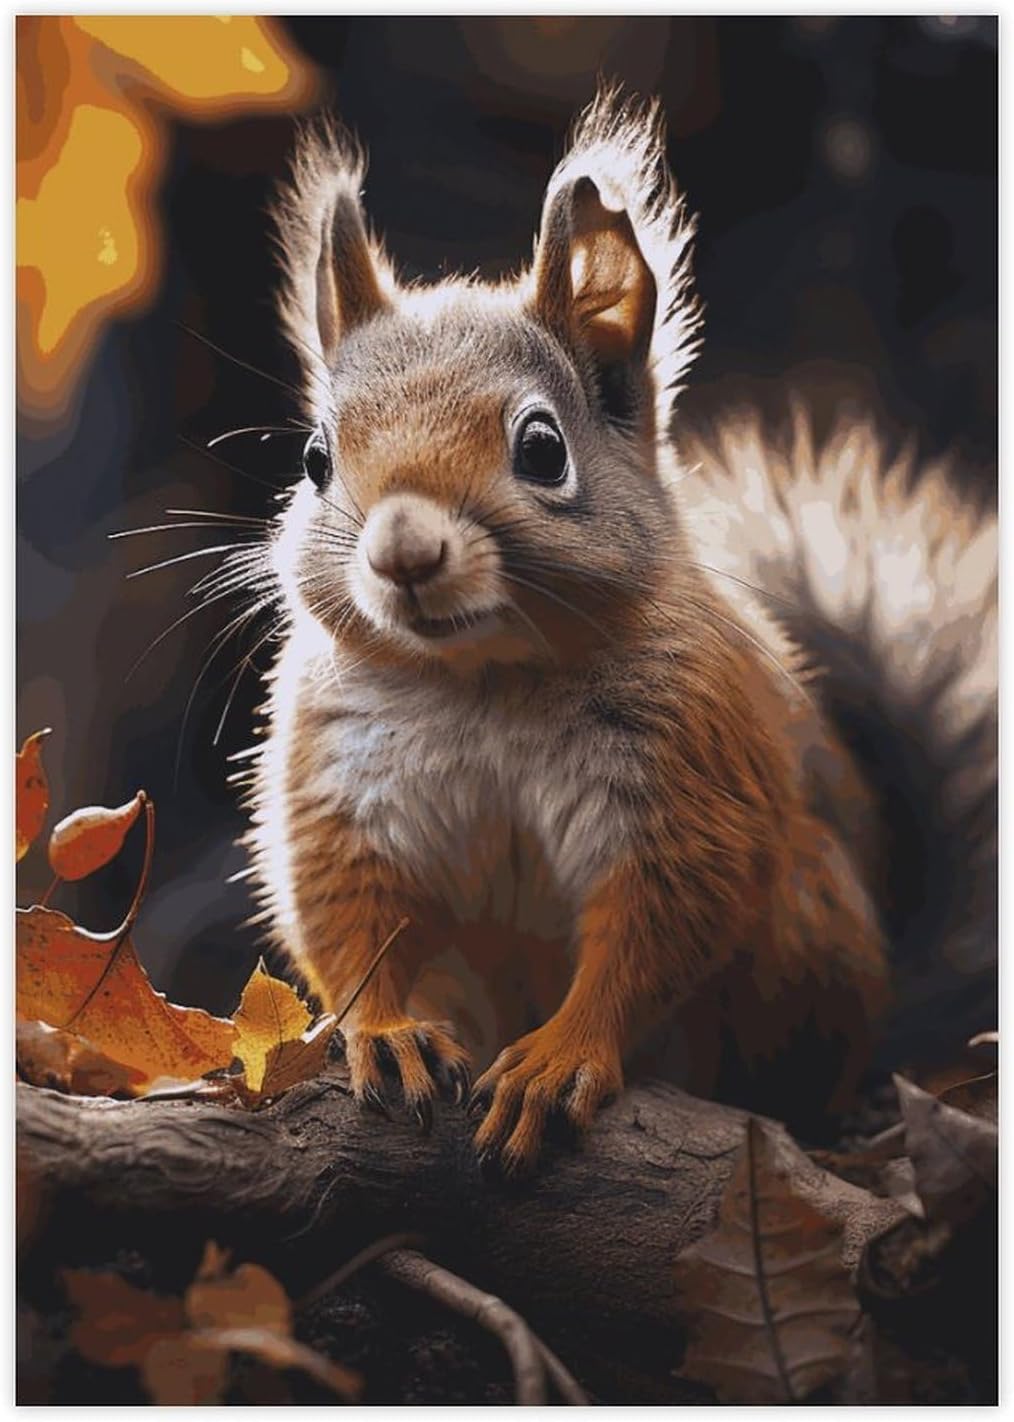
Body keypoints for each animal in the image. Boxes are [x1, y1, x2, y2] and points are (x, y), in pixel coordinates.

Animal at [242, 89, 997, 1170]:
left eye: (543, 449)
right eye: (315, 458)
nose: (402, 553)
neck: (483, 680)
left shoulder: (685, 777)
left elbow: (655, 929)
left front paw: (561, 1056)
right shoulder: (341, 778)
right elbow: (349, 915)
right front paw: (385, 1031)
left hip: (806, 940)